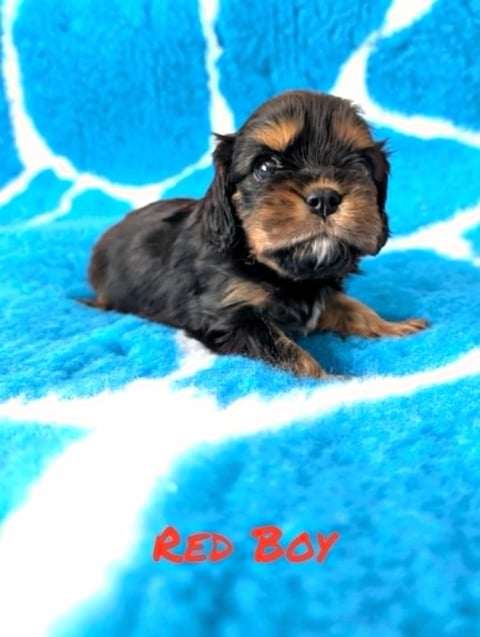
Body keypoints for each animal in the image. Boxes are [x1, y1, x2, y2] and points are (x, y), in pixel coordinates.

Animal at [83, 89, 428, 378]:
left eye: (359, 166)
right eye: (265, 167)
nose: (324, 198)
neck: (281, 273)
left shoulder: (322, 294)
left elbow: (353, 307)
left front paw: (394, 326)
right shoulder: (232, 319)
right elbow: (287, 351)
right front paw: (332, 380)